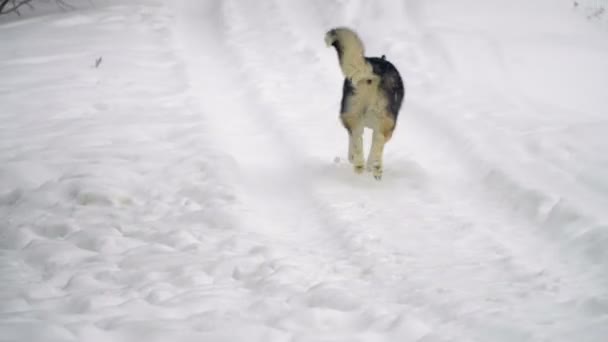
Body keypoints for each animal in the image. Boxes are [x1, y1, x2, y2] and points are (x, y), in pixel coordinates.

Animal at [324, 28, 404, 180]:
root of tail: (376, 71)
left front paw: (357, 160)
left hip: (354, 113)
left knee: (359, 136)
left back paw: (363, 165)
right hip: (383, 121)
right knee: (374, 138)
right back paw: (370, 166)